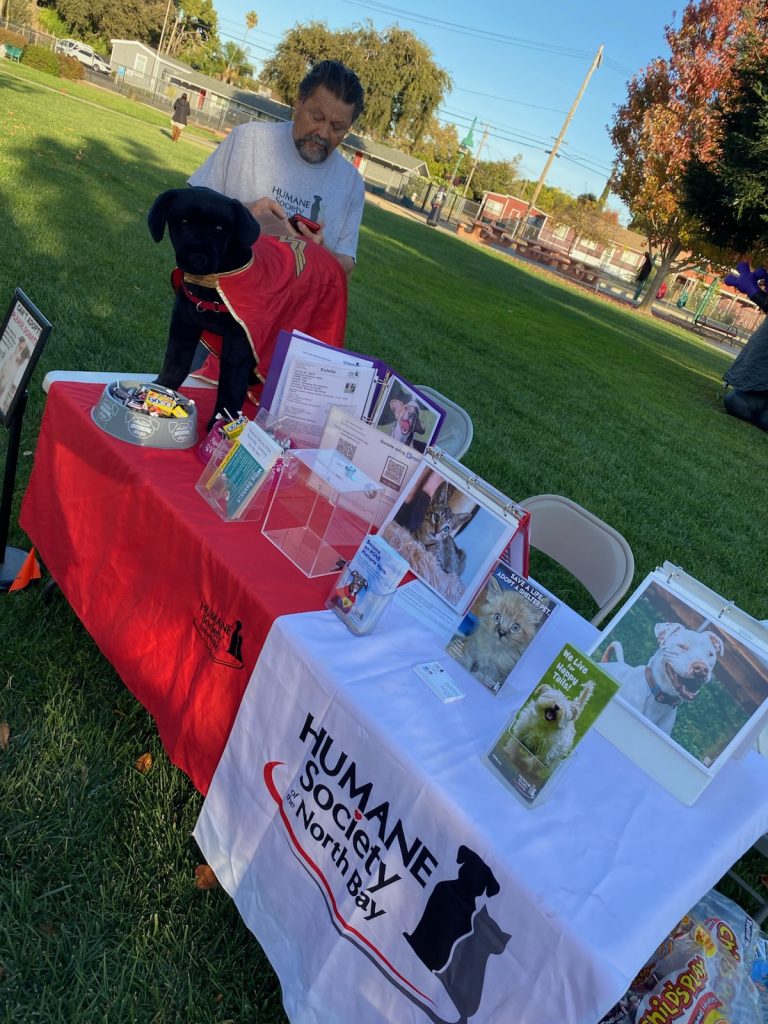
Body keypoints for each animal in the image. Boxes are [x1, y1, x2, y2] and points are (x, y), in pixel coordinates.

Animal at [146, 186, 348, 430]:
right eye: (184, 221)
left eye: (220, 228)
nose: (198, 258)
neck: (212, 285)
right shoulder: (183, 325)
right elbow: (175, 365)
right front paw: (160, 391)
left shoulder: (239, 345)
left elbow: (230, 388)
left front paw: (222, 424)